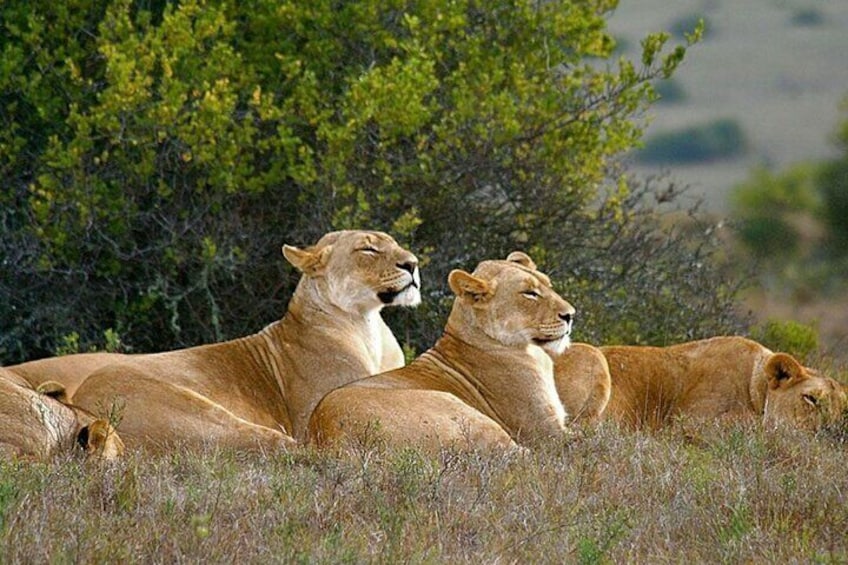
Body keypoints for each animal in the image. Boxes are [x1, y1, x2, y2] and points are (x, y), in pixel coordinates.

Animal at [16, 229, 420, 450]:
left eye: (396, 243)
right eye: (368, 248)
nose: (414, 264)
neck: (367, 324)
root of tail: (79, 401)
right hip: (201, 411)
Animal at [306, 251, 576, 450]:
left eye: (549, 285)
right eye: (529, 293)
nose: (571, 315)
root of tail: (329, 437)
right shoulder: (546, 433)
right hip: (459, 409)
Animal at [556, 332, 840, 430]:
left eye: (843, 411)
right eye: (811, 399)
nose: (832, 430)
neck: (756, 384)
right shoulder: (688, 420)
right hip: (592, 356)